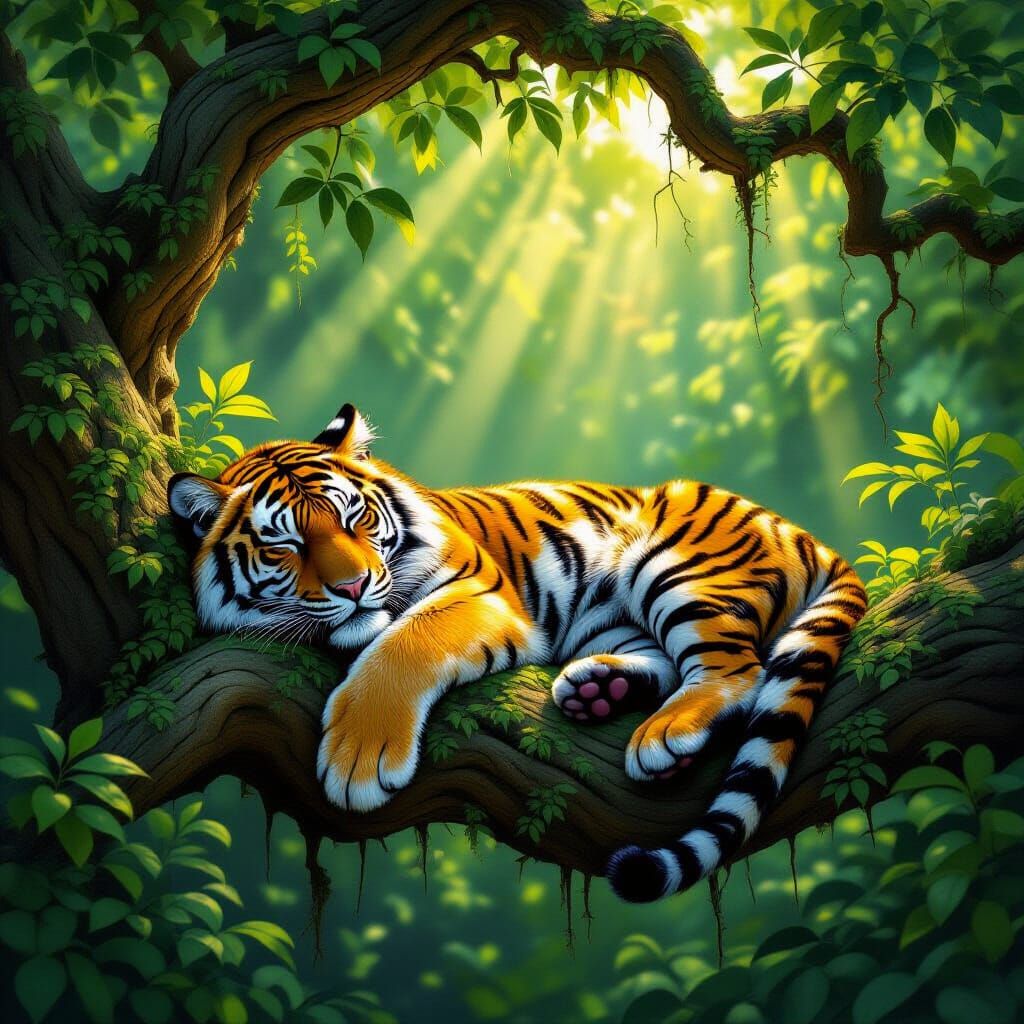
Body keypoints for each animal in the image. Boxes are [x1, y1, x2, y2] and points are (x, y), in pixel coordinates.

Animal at [167, 403, 867, 902]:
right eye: (284, 545)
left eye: (352, 519)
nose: (355, 586)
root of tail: (803, 533)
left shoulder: (478, 590)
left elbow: (403, 643)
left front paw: (359, 759)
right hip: (608, 618)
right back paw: (598, 693)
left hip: (674, 568)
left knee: (737, 668)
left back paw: (662, 734)